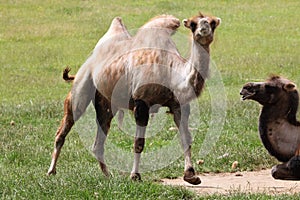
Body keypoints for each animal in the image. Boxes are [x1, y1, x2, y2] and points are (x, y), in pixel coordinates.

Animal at [47, 12, 220, 185]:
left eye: (212, 23)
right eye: (192, 24)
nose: (203, 28)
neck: (170, 72)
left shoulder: (178, 104)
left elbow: (185, 138)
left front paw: (191, 175)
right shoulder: (142, 103)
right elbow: (139, 143)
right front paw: (135, 175)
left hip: (106, 101)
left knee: (99, 140)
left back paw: (108, 175)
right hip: (82, 84)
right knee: (65, 127)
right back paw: (51, 171)